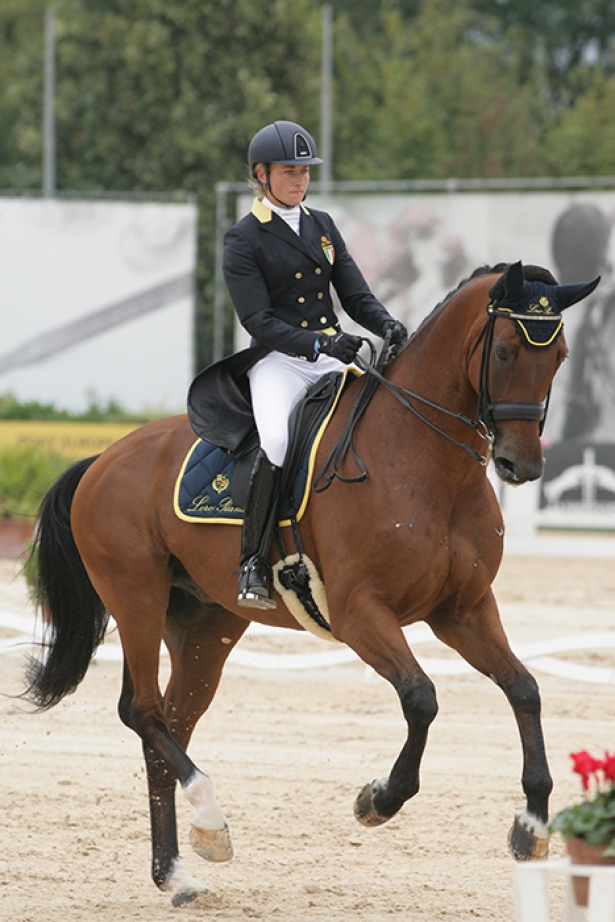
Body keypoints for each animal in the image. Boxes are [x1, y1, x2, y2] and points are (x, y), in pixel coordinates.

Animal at [24, 260, 596, 904]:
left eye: (559, 355)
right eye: (502, 351)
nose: (521, 466)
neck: (426, 463)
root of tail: (102, 459)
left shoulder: (463, 608)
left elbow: (525, 689)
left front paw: (532, 826)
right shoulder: (359, 612)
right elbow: (421, 697)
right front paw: (378, 800)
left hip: (205, 629)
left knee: (168, 724)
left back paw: (177, 870)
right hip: (136, 601)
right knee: (142, 712)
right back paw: (211, 821)